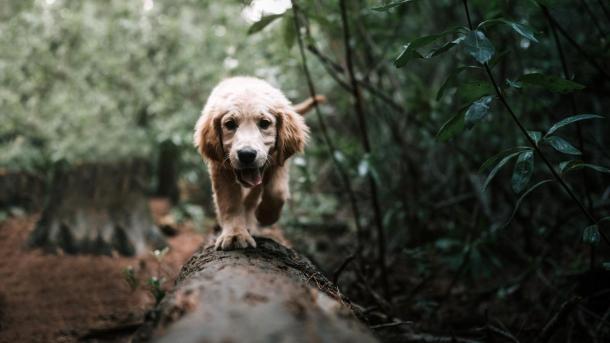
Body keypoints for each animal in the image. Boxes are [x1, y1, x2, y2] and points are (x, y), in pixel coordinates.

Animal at [194, 76, 318, 251]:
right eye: (230, 124)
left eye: (265, 123)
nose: (246, 155)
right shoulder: (220, 168)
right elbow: (229, 201)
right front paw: (235, 234)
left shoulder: (278, 161)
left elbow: (277, 192)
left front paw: (265, 216)